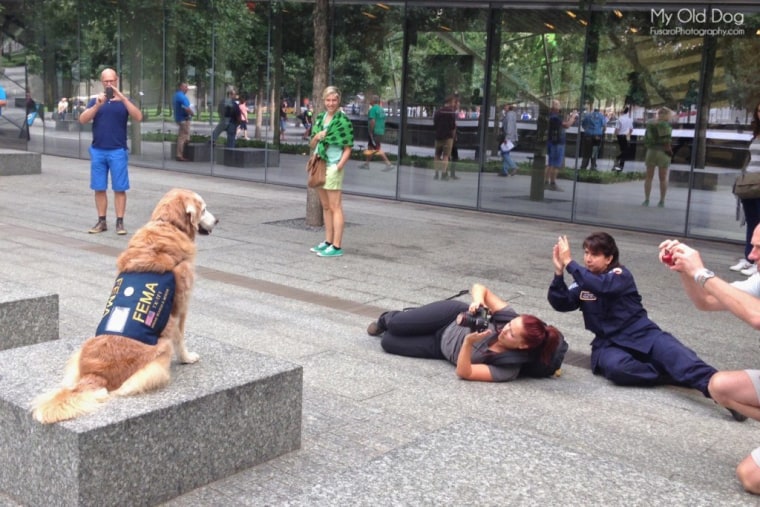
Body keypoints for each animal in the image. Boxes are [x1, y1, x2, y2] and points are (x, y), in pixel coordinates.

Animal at [30, 189, 217, 422]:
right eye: (205, 209)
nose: (217, 221)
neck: (168, 224)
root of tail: (95, 375)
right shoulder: (181, 307)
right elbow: (181, 339)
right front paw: (187, 358)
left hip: (78, 354)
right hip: (160, 350)